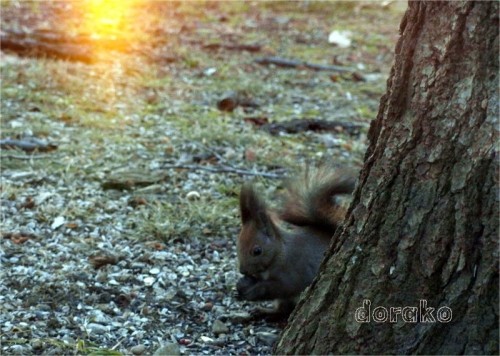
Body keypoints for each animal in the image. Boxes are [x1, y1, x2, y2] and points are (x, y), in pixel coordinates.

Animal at [235, 167, 356, 320]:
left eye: (257, 251)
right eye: (238, 246)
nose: (242, 271)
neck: (280, 253)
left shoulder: (292, 271)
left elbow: (281, 287)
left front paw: (252, 291)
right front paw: (241, 287)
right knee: (282, 310)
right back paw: (264, 311)